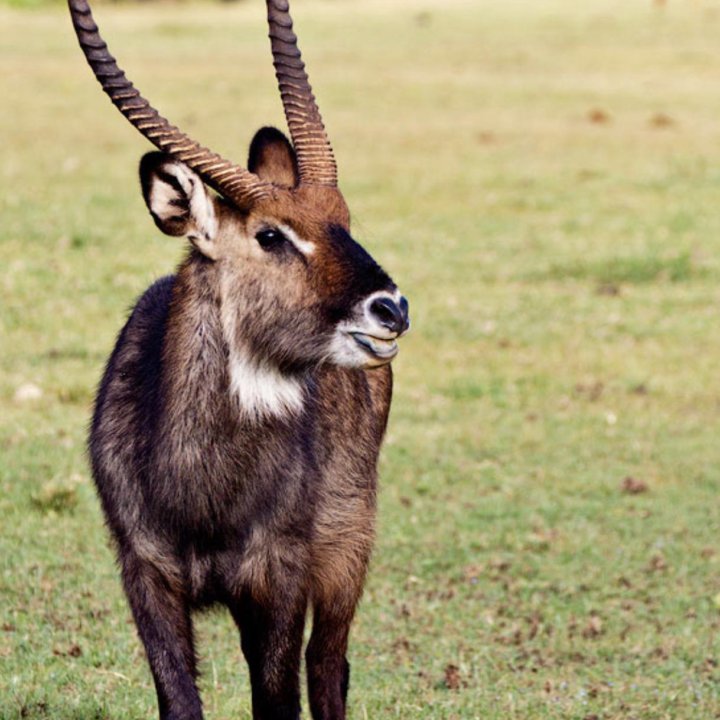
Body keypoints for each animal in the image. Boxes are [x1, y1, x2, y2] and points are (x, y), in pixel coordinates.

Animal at [69, 1, 408, 720]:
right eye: (270, 234)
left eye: (345, 218)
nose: (391, 308)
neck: (200, 494)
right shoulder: (145, 575)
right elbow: (180, 702)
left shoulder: (279, 577)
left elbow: (279, 700)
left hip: (348, 545)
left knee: (329, 666)